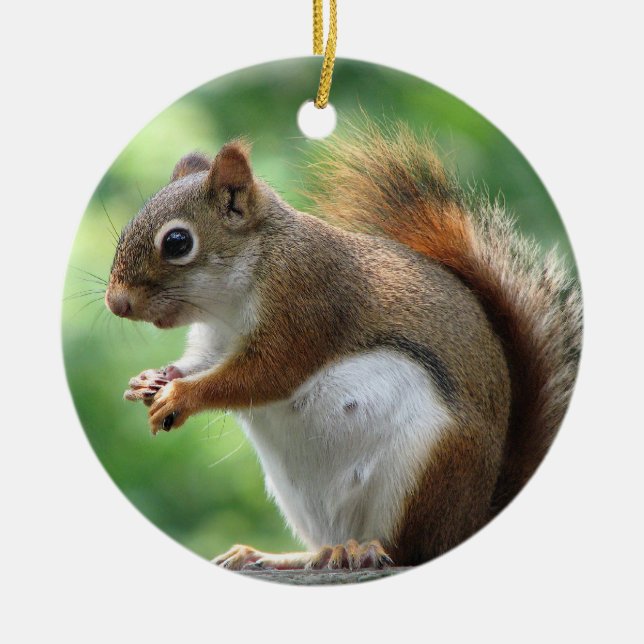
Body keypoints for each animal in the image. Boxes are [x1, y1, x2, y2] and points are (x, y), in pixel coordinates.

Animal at [105, 121, 582, 570]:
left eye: (177, 242)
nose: (115, 303)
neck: (229, 299)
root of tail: (472, 519)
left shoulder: (306, 302)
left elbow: (266, 375)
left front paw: (181, 396)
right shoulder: (213, 342)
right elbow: (199, 362)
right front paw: (148, 381)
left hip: (425, 468)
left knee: (410, 549)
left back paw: (365, 550)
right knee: (324, 547)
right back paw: (283, 555)